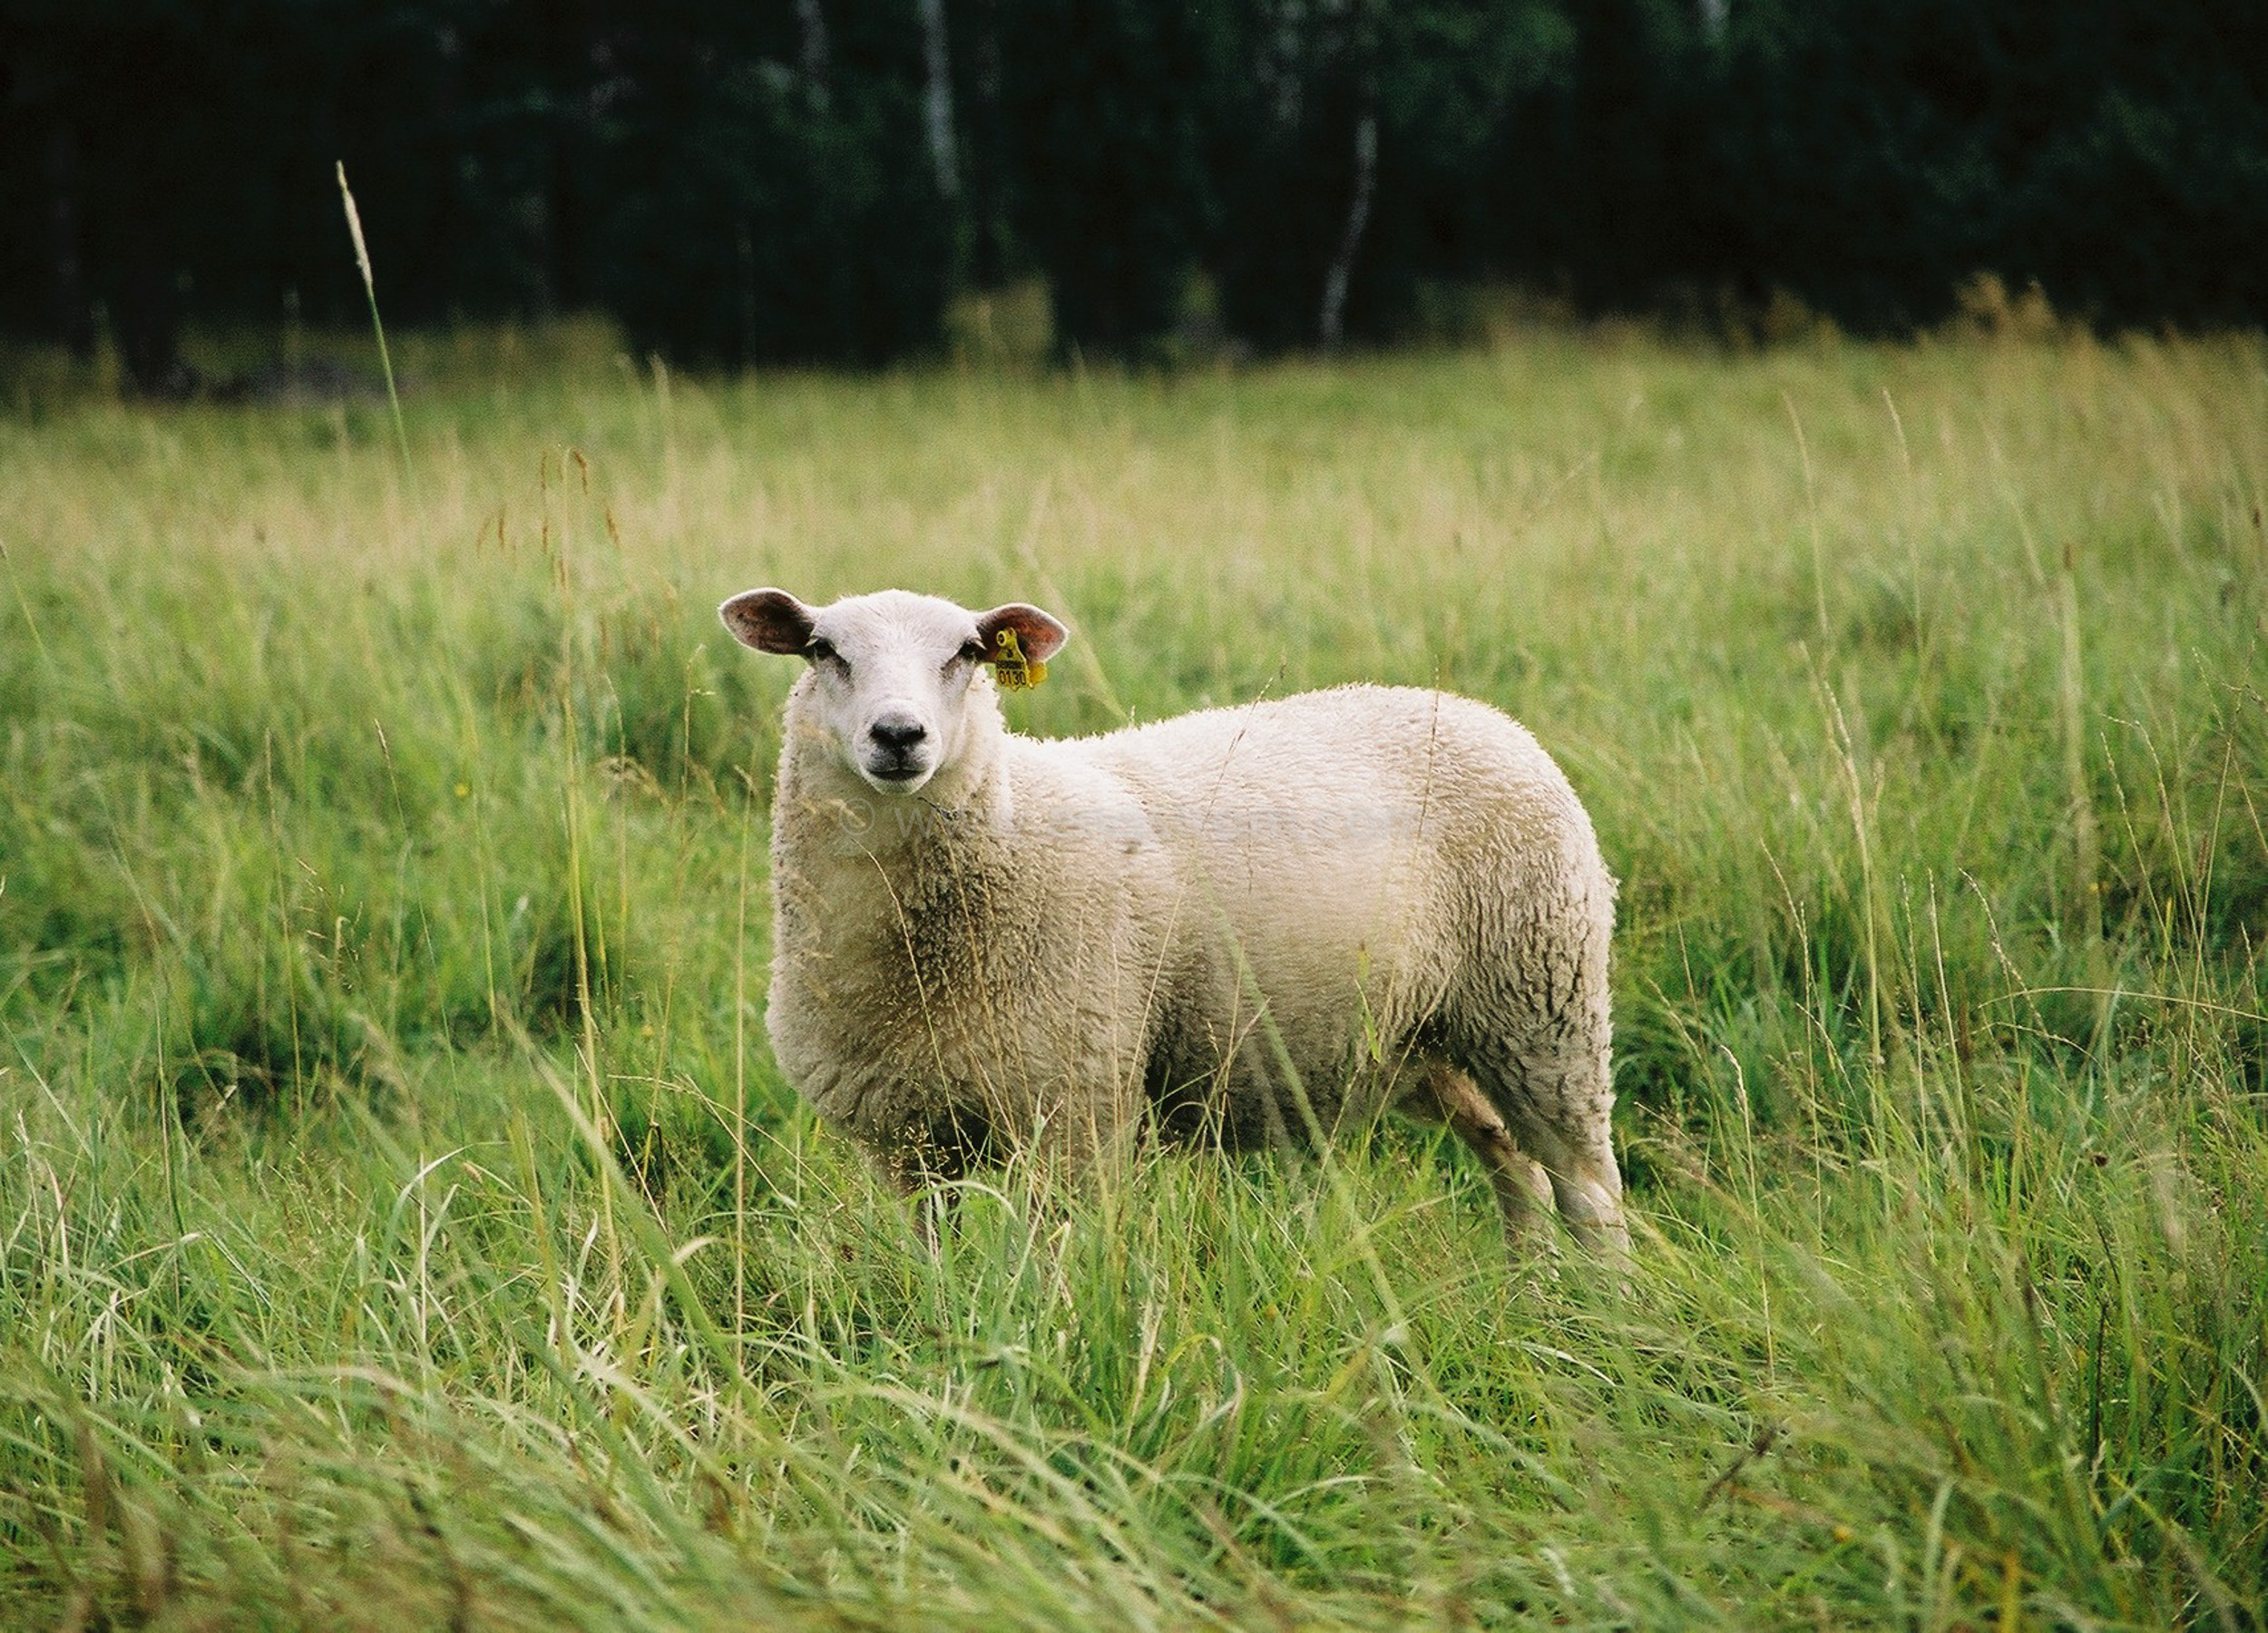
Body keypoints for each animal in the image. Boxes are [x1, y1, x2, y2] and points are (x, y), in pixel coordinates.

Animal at [717, 590, 1624, 1261]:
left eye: (968, 653)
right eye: (823, 651)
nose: (900, 735)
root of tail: (1481, 713)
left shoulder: (1075, 1109)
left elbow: (1054, 1265)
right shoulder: (907, 1140)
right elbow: (932, 1261)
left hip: (1542, 1003)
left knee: (1587, 1187)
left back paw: (1600, 1318)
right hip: (1418, 1038)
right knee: (1513, 1165)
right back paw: (1526, 1291)